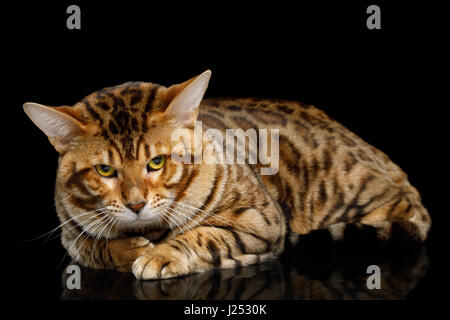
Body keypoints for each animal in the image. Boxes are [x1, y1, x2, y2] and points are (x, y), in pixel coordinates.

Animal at [22, 70, 430, 280]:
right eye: (106, 170)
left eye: (157, 163)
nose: (136, 204)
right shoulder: (71, 232)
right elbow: (94, 246)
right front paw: (127, 248)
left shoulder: (260, 220)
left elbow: (205, 235)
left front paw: (161, 253)